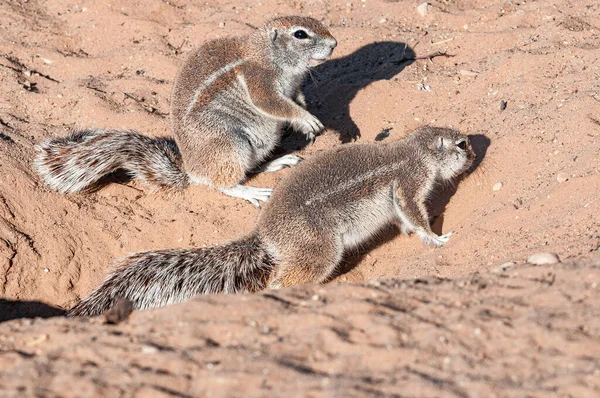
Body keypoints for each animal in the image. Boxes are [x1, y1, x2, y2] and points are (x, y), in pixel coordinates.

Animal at [35, 15, 338, 207]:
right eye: (300, 34)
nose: (335, 43)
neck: (266, 54)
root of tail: (190, 170)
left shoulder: (293, 86)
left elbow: (295, 99)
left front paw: (306, 116)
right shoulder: (259, 81)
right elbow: (273, 103)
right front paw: (306, 120)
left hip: (257, 143)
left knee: (250, 167)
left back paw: (278, 162)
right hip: (230, 143)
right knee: (223, 183)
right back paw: (250, 192)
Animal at [68, 127, 476, 318]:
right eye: (461, 144)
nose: (475, 151)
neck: (413, 150)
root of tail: (265, 235)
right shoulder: (409, 183)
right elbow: (413, 214)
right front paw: (438, 238)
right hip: (319, 249)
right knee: (284, 280)